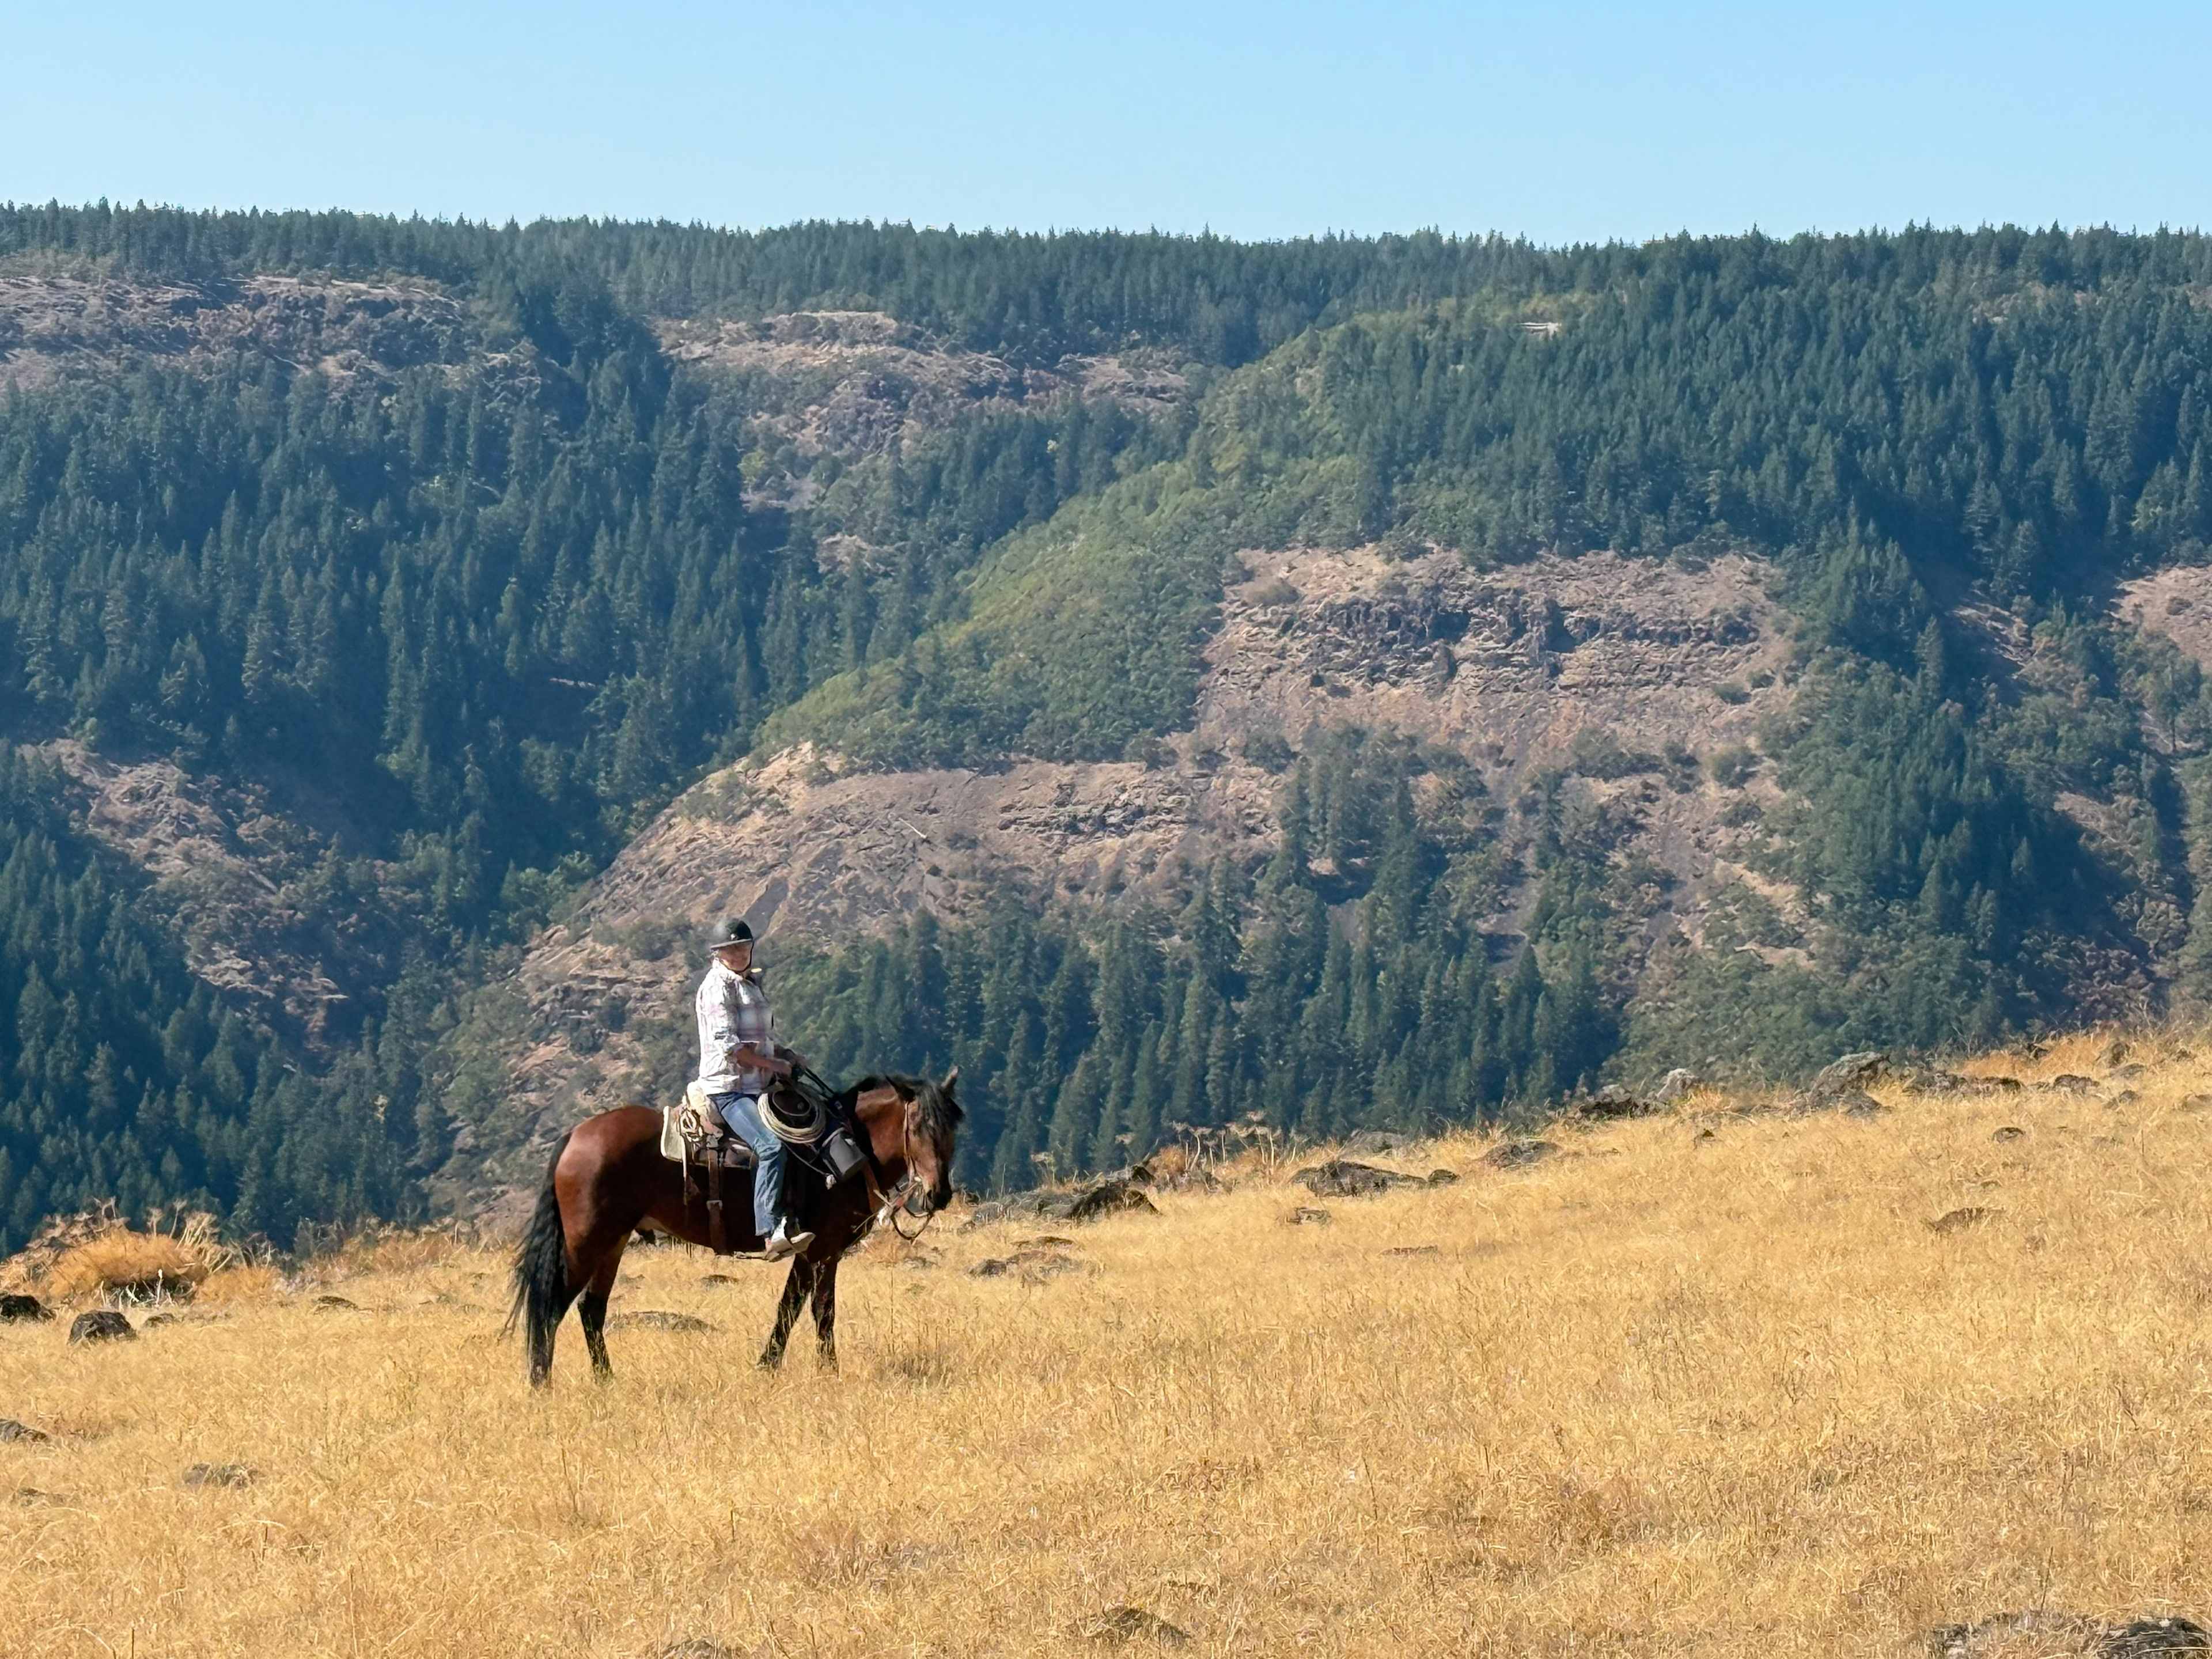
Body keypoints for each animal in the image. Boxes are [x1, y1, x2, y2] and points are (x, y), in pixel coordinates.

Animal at [505, 1070, 961, 1386]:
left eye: (954, 1128)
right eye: (918, 1126)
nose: (939, 1193)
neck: (849, 1149)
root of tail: (575, 1136)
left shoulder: (816, 1251)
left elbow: (805, 1310)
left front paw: (795, 1368)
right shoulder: (818, 1249)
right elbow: (807, 1310)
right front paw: (800, 1369)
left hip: (613, 1242)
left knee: (591, 1309)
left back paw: (606, 1382)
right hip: (586, 1242)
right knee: (552, 1307)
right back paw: (541, 1384)